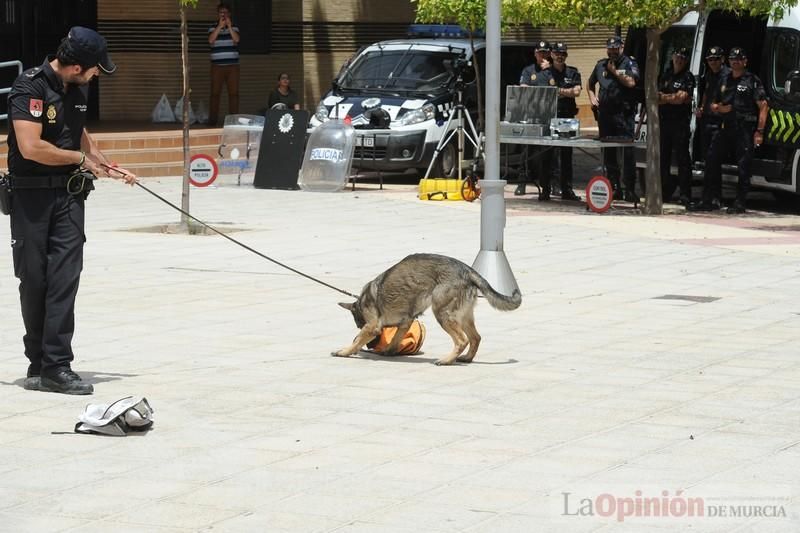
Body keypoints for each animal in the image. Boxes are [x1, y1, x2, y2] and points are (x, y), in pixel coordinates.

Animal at [330, 255, 520, 366]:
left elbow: (357, 340)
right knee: (475, 337)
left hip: (442, 313)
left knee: (462, 340)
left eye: (358, 324)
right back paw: (466, 358)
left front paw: (345, 351)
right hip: (464, 316)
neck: (362, 300)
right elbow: (396, 338)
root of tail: (467, 270)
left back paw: (446, 360)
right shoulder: (405, 322)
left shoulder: (372, 326)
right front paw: (388, 351)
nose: (370, 347)